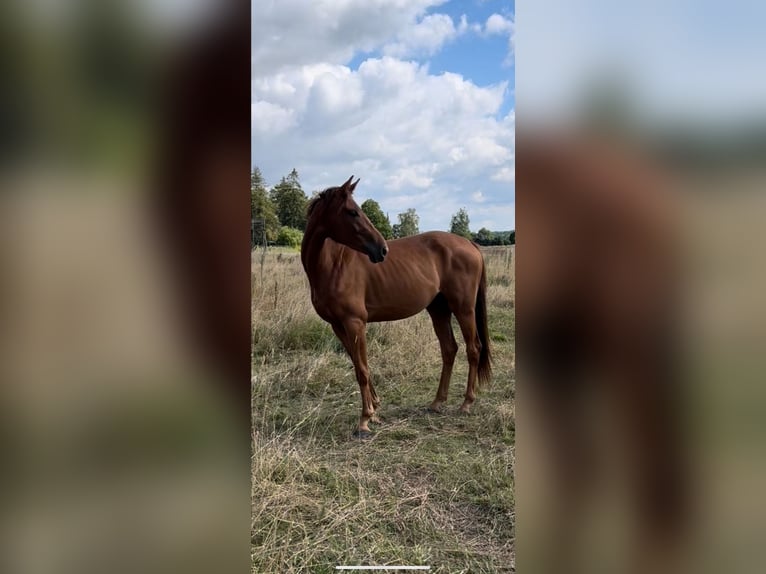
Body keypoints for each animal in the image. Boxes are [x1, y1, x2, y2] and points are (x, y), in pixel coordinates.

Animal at [300, 176, 492, 436]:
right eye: (352, 212)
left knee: (473, 349)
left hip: (463, 308)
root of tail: (469, 243)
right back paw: (437, 402)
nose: (382, 250)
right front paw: (374, 410)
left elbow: (362, 370)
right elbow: (359, 365)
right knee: (449, 349)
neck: (332, 265)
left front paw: (365, 419)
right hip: (439, 310)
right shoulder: (338, 326)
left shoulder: (355, 322)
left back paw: (466, 403)